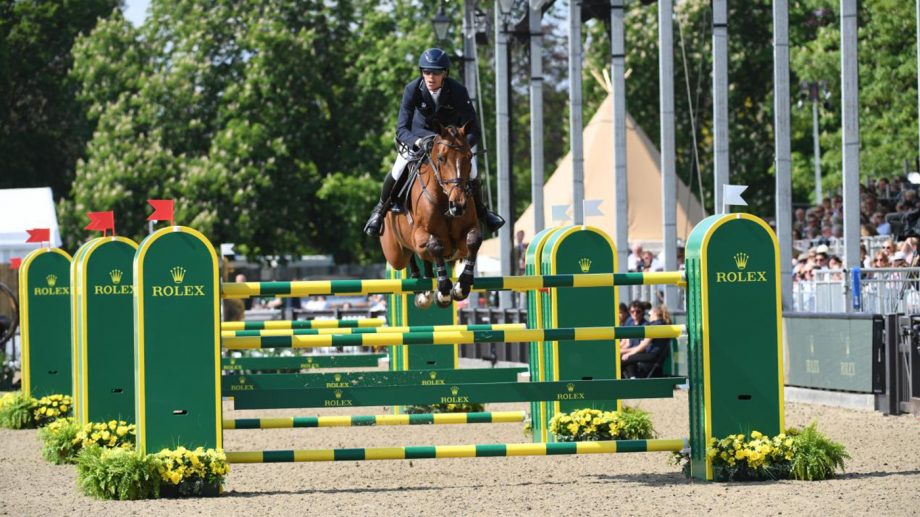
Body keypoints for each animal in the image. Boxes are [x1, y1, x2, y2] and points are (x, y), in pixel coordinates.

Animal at [380, 123, 482, 308]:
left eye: (469, 157)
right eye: (441, 158)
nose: (458, 205)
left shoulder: (464, 239)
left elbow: (473, 240)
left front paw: (462, 286)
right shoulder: (419, 235)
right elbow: (435, 244)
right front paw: (444, 291)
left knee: (424, 259)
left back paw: (427, 290)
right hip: (395, 255)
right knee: (409, 257)